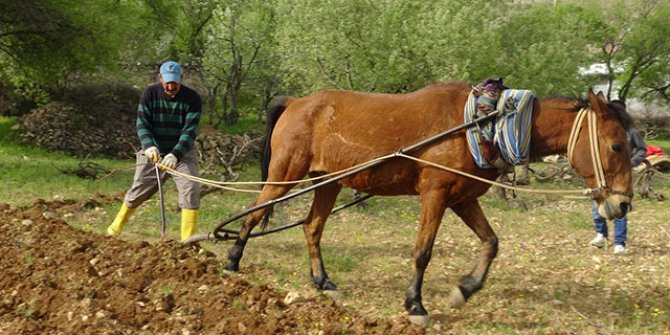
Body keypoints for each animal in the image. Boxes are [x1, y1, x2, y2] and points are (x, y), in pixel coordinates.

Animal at [226, 80, 636, 322]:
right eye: (616, 145)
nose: (622, 205)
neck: (481, 125)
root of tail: (297, 101)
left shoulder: (462, 198)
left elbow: (491, 242)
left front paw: (464, 290)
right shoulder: (435, 195)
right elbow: (423, 251)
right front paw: (415, 305)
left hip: (328, 183)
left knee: (312, 227)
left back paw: (323, 282)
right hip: (284, 175)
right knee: (253, 215)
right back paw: (231, 263)